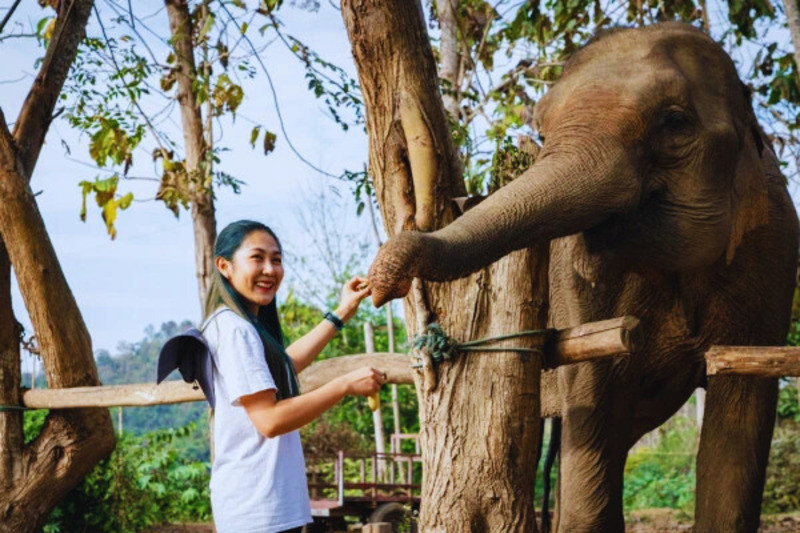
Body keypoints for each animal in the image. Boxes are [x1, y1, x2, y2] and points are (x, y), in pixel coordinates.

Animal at [368, 22, 800, 528]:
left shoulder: (774, 251)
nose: (378, 279)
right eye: (540, 132)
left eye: (675, 123)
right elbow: (596, 396)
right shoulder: (576, 283)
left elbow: (739, 415)